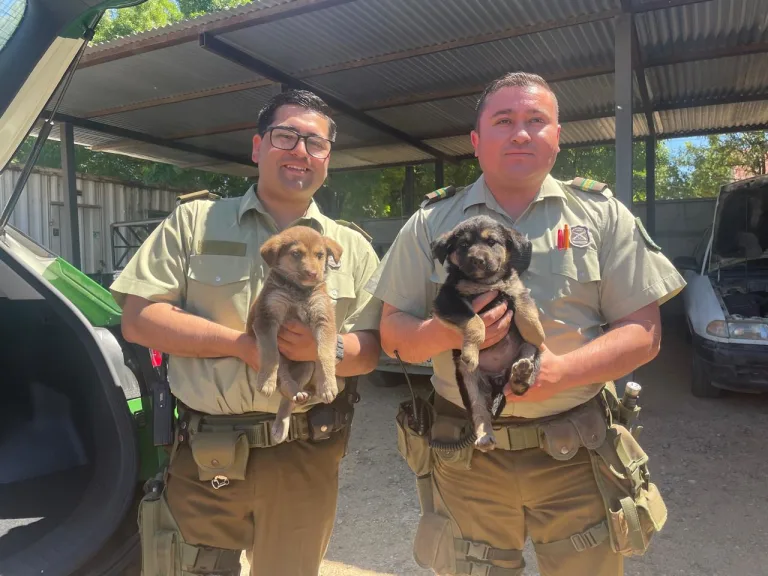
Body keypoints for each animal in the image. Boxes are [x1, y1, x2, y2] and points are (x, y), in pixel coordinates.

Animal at [248, 225, 344, 446]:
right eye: (296, 254)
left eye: (320, 255)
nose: (313, 273)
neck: (298, 291)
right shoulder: (266, 317)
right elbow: (271, 354)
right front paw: (266, 381)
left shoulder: (324, 320)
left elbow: (324, 354)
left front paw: (328, 385)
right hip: (286, 366)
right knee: (283, 380)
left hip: (305, 366)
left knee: (288, 396)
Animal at [432, 215, 544, 450]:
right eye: (463, 245)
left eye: (492, 242)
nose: (477, 260)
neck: (485, 283)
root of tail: (498, 380)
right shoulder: (448, 299)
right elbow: (475, 321)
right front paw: (471, 352)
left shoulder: (515, 287)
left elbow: (525, 307)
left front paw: (536, 331)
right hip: (468, 381)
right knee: (480, 412)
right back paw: (485, 438)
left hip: (532, 356)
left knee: (521, 385)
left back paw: (521, 375)